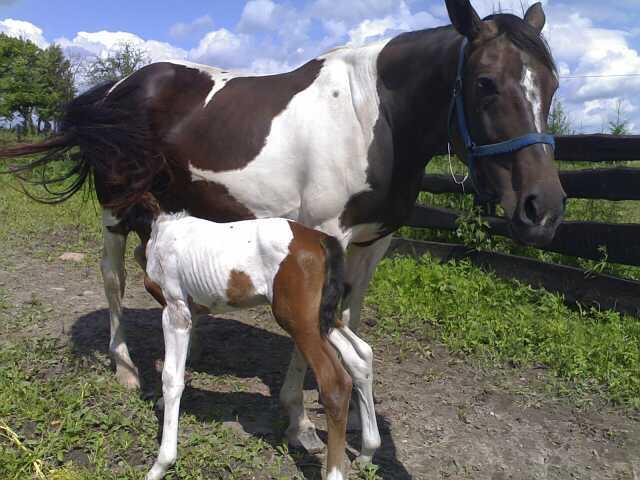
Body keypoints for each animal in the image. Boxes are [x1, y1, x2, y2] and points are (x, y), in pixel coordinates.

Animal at [142, 211, 378, 480]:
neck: (164, 228)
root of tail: (319, 238)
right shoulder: (193, 311)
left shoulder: (175, 311)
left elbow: (172, 377)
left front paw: (160, 465)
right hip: (318, 317)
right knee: (360, 355)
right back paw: (367, 452)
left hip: (298, 319)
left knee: (335, 382)